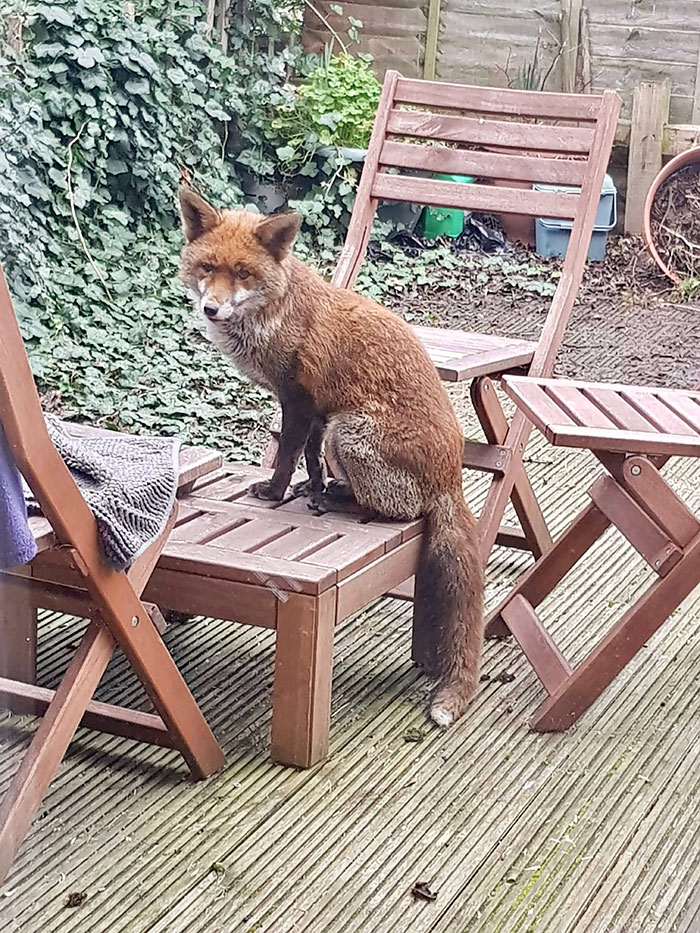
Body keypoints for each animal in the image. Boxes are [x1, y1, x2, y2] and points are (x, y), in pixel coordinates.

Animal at [178, 186, 485, 727]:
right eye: (206, 268)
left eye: (243, 273)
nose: (211, 309)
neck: (276, 317)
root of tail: (452, 478)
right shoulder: (317, 412)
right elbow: (310, 459)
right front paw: (311, 486)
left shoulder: (300, 400)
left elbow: (286, 457)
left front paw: (273, 493)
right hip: (340, 430)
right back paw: (331, 493)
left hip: (351, 432)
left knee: (398, 511)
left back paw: (343, 502)